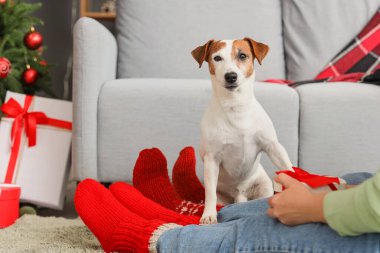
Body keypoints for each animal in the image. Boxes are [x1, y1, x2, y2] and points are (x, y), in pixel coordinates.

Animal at [193, 37, 294, 223]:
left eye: (242, 55)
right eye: (217, 58)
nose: (231, 76)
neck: (236, 107)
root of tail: (240, 195)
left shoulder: (272, 146)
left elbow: (289, 168)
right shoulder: (212, 159)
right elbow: (210, 193)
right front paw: (209, 215)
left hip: (264, 186)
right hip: (222, 194)